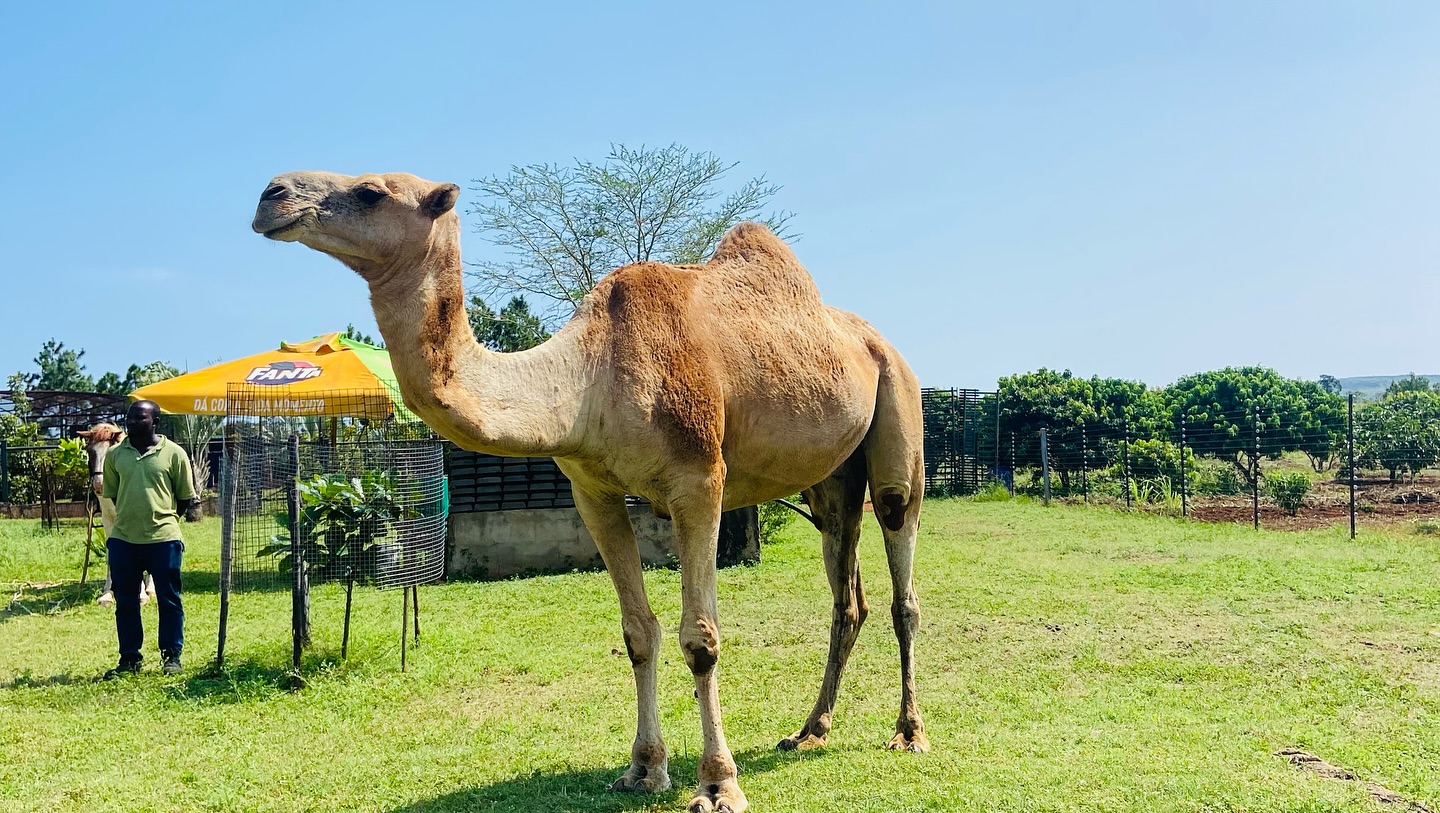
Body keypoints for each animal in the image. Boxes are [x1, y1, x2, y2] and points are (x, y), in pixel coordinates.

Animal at [78, 422, 156, 607]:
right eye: (90, 451)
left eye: (111, 452)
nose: (99, 485)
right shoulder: (108, 519)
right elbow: (110, 554)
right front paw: (107, 593)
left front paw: (141, 594)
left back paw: (151, 588)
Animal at [252, 171, 928, 813]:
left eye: (371, 191)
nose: (270, 194)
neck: (587, 376)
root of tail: (873, 339)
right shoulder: (592, 493)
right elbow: (638, 633)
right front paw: (643, 771)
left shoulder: (699, 481)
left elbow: (700, 638)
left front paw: (717, 785)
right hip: (830, 480)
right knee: (846, 589)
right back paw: (810, 730)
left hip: (898, 408)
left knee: (900, 564)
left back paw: (908, 732)